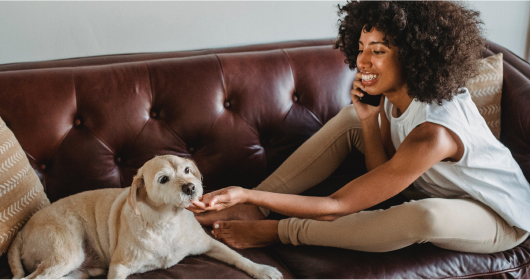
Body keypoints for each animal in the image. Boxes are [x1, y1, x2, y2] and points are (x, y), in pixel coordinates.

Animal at [7, 154, 280, 278]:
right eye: (163, 179)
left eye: (187, 170)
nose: (191, 187)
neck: (167, 223)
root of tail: (22, 232)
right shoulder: (119, 267)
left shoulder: (209, 243)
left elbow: (238, 257)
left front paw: (262, 269)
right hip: (67, 254)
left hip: (75, 268)